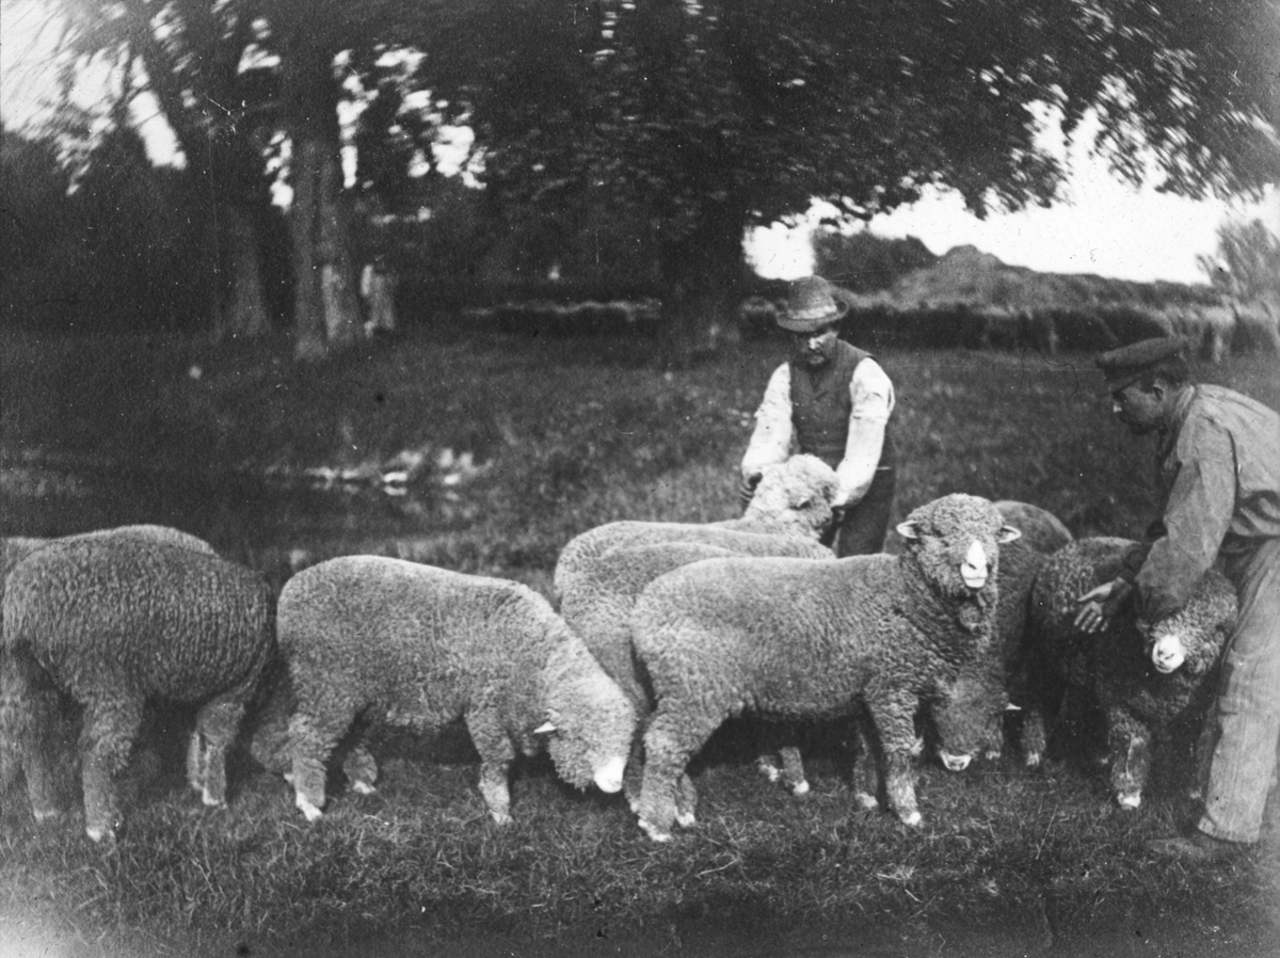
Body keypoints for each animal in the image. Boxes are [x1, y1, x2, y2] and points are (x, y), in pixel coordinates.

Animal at [0, 537, 274, 842]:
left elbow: (196, 733)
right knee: (96, 750)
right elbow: (216, 739)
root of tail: (22, 603)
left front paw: (196, 780)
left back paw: (46, 810)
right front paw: (215, 797)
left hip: (24, 677)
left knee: (31, 735)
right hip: (105, 680)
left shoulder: (192, 690)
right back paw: (100, 828)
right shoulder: (235, 689)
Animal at [274, 556, 637, 825]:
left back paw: (361, 783)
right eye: (582, 740)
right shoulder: (485, 709)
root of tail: (290, 590)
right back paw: (309, 802)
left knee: (350, 735)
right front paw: (500, 811)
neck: (532, 655)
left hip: (357, 691)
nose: (615, 783)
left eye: (627, 740)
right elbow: (498, 760)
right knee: (306, 735)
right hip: (326, 683)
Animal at [627, 493, 1020, 840]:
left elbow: (868, 747)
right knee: (665, 746)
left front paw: (867, 796)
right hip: (695, 689)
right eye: (937, 534)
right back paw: (656, 825)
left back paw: (678, 808)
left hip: (672, 690)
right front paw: (907, 811)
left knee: (654, 738)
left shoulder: (869, 691)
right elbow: (899, 751)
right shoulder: (892, 690)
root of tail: (646, 609)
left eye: (994, 533)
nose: (977, 568)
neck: (906, 596)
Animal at [1022, 537, 1238, 809]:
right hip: (1043, 651)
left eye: (1214, 628)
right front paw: (1129, 794)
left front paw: (1194, 792)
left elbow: (1194, 744)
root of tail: (1073, 544)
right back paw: (1033, 751)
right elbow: (1132, 743)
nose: (1163, 654)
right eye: (1162, 610)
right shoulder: (1121, 697)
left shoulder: (1198, 710)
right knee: (1035, 696)